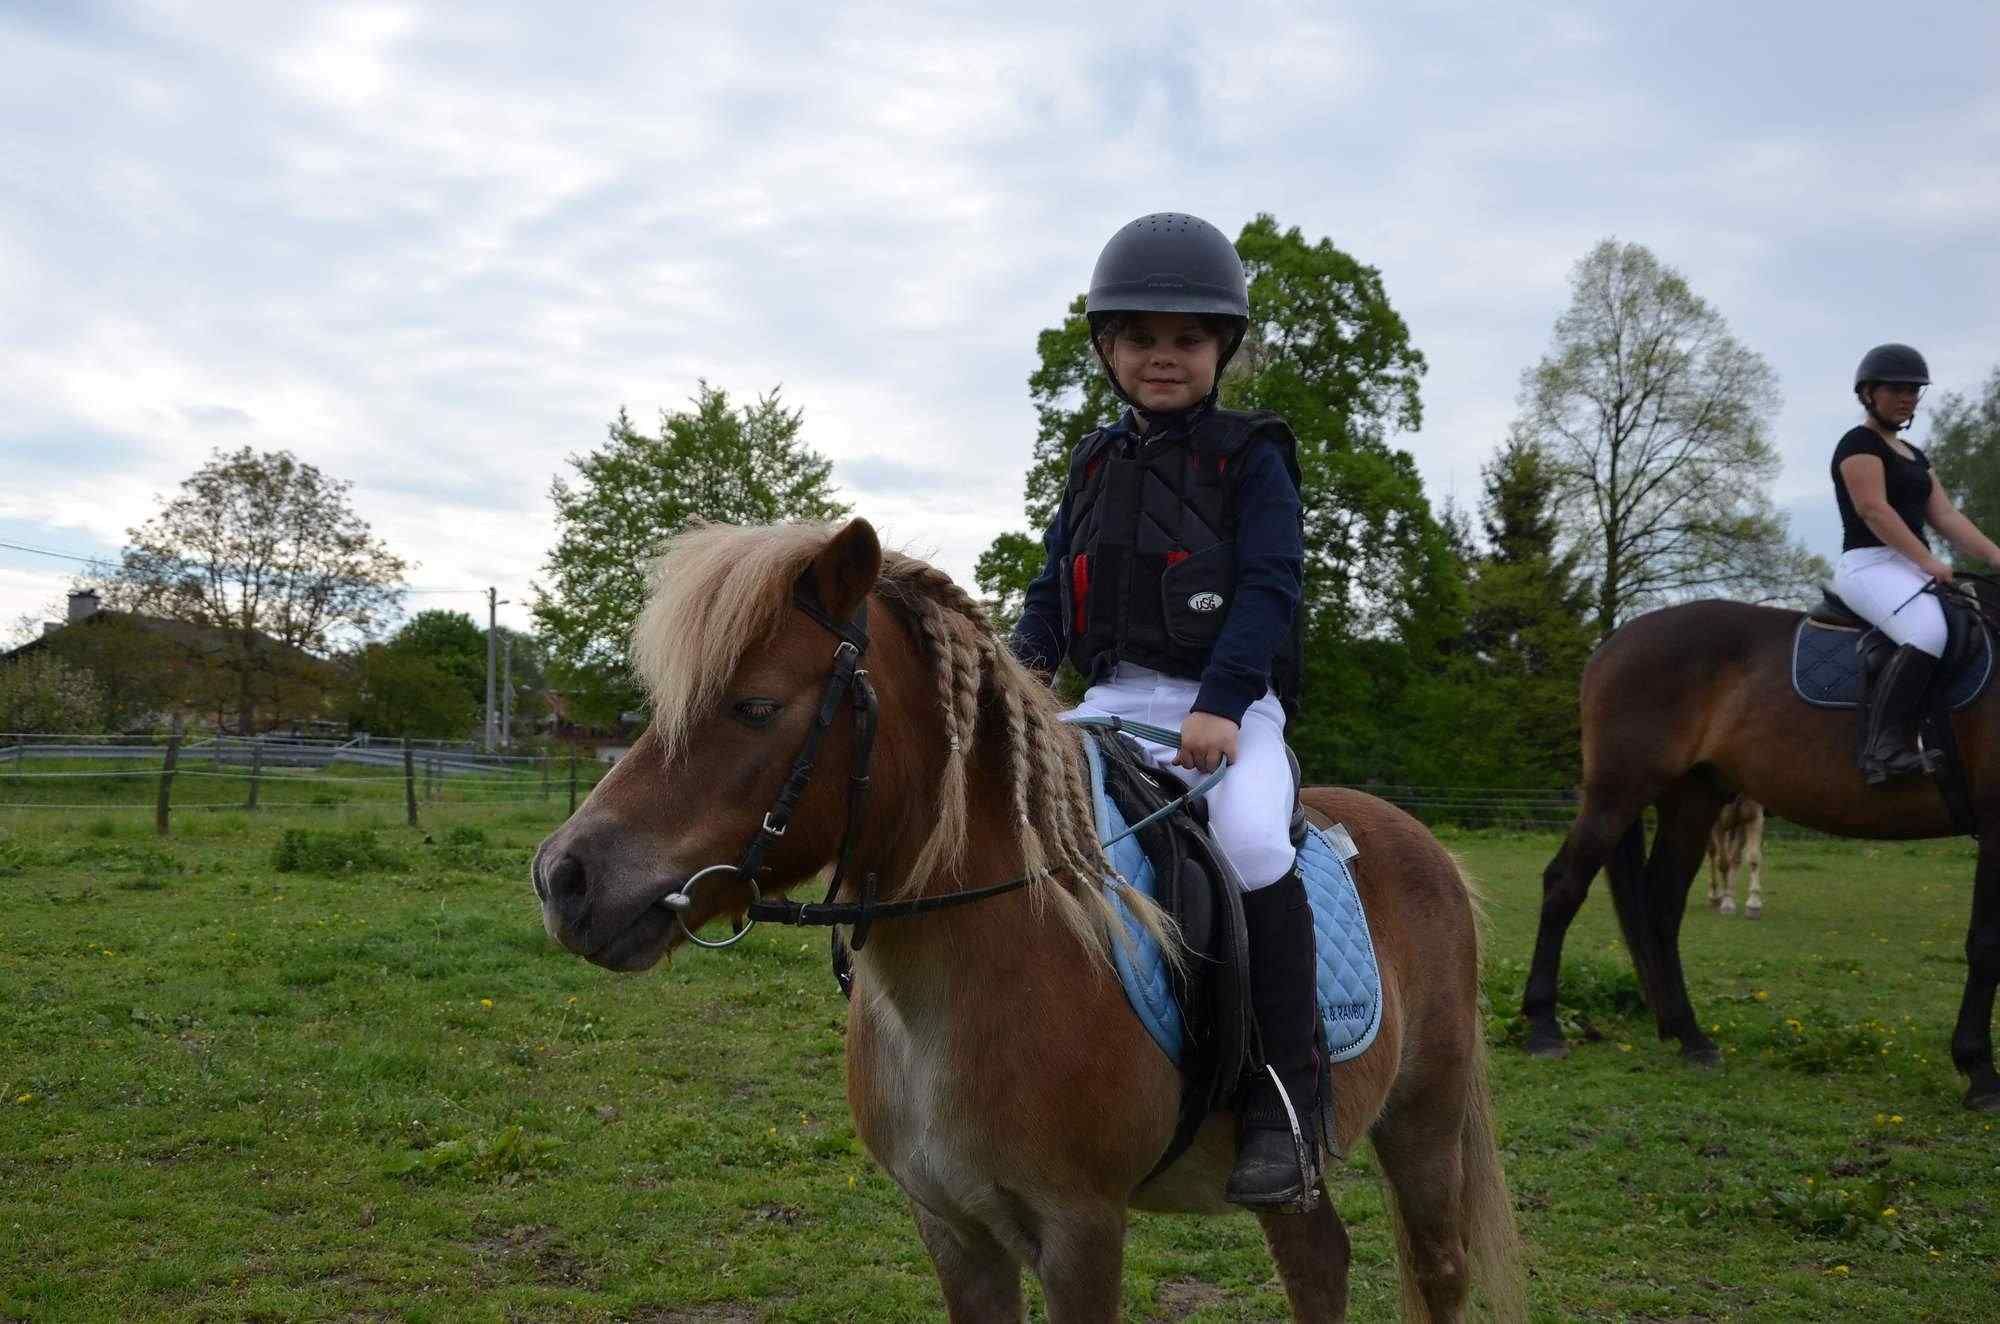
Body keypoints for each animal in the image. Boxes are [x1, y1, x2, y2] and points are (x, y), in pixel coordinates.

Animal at [536, 520, 1528, 1324]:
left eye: (755, 707)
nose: (563, 879)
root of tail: (1427, 844)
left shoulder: (1079, 1231)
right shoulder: (952, 1229)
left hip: (1424, 1121)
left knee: (1438, 1271)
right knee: (1319, 1264)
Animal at [1512, 588, 2000, 1112]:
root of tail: (1614, 641)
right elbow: (1987, 944)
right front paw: (1980, 1073)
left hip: (1691, 799)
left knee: (1661, 905)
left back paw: (1690, 1037)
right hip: (1619, 792)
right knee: (1565, 885)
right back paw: (1544, 1027)